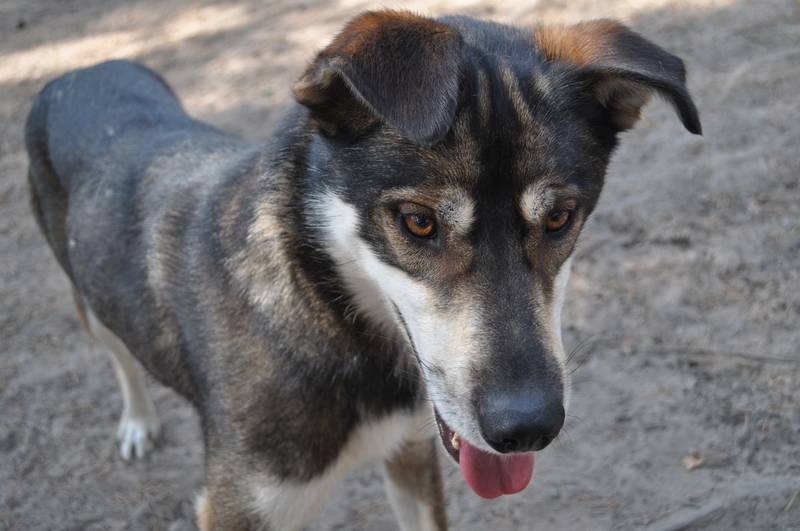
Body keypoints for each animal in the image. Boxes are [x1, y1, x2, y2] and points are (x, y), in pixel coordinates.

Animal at [26, 9, 700, 531]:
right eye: (419, 222)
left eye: (560, 217)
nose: (527, 427)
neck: (336, 322)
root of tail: (83, 70)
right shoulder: (238, 507)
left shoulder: (412, 453)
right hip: (87, 298)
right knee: (118, 354)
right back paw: (138, 421)